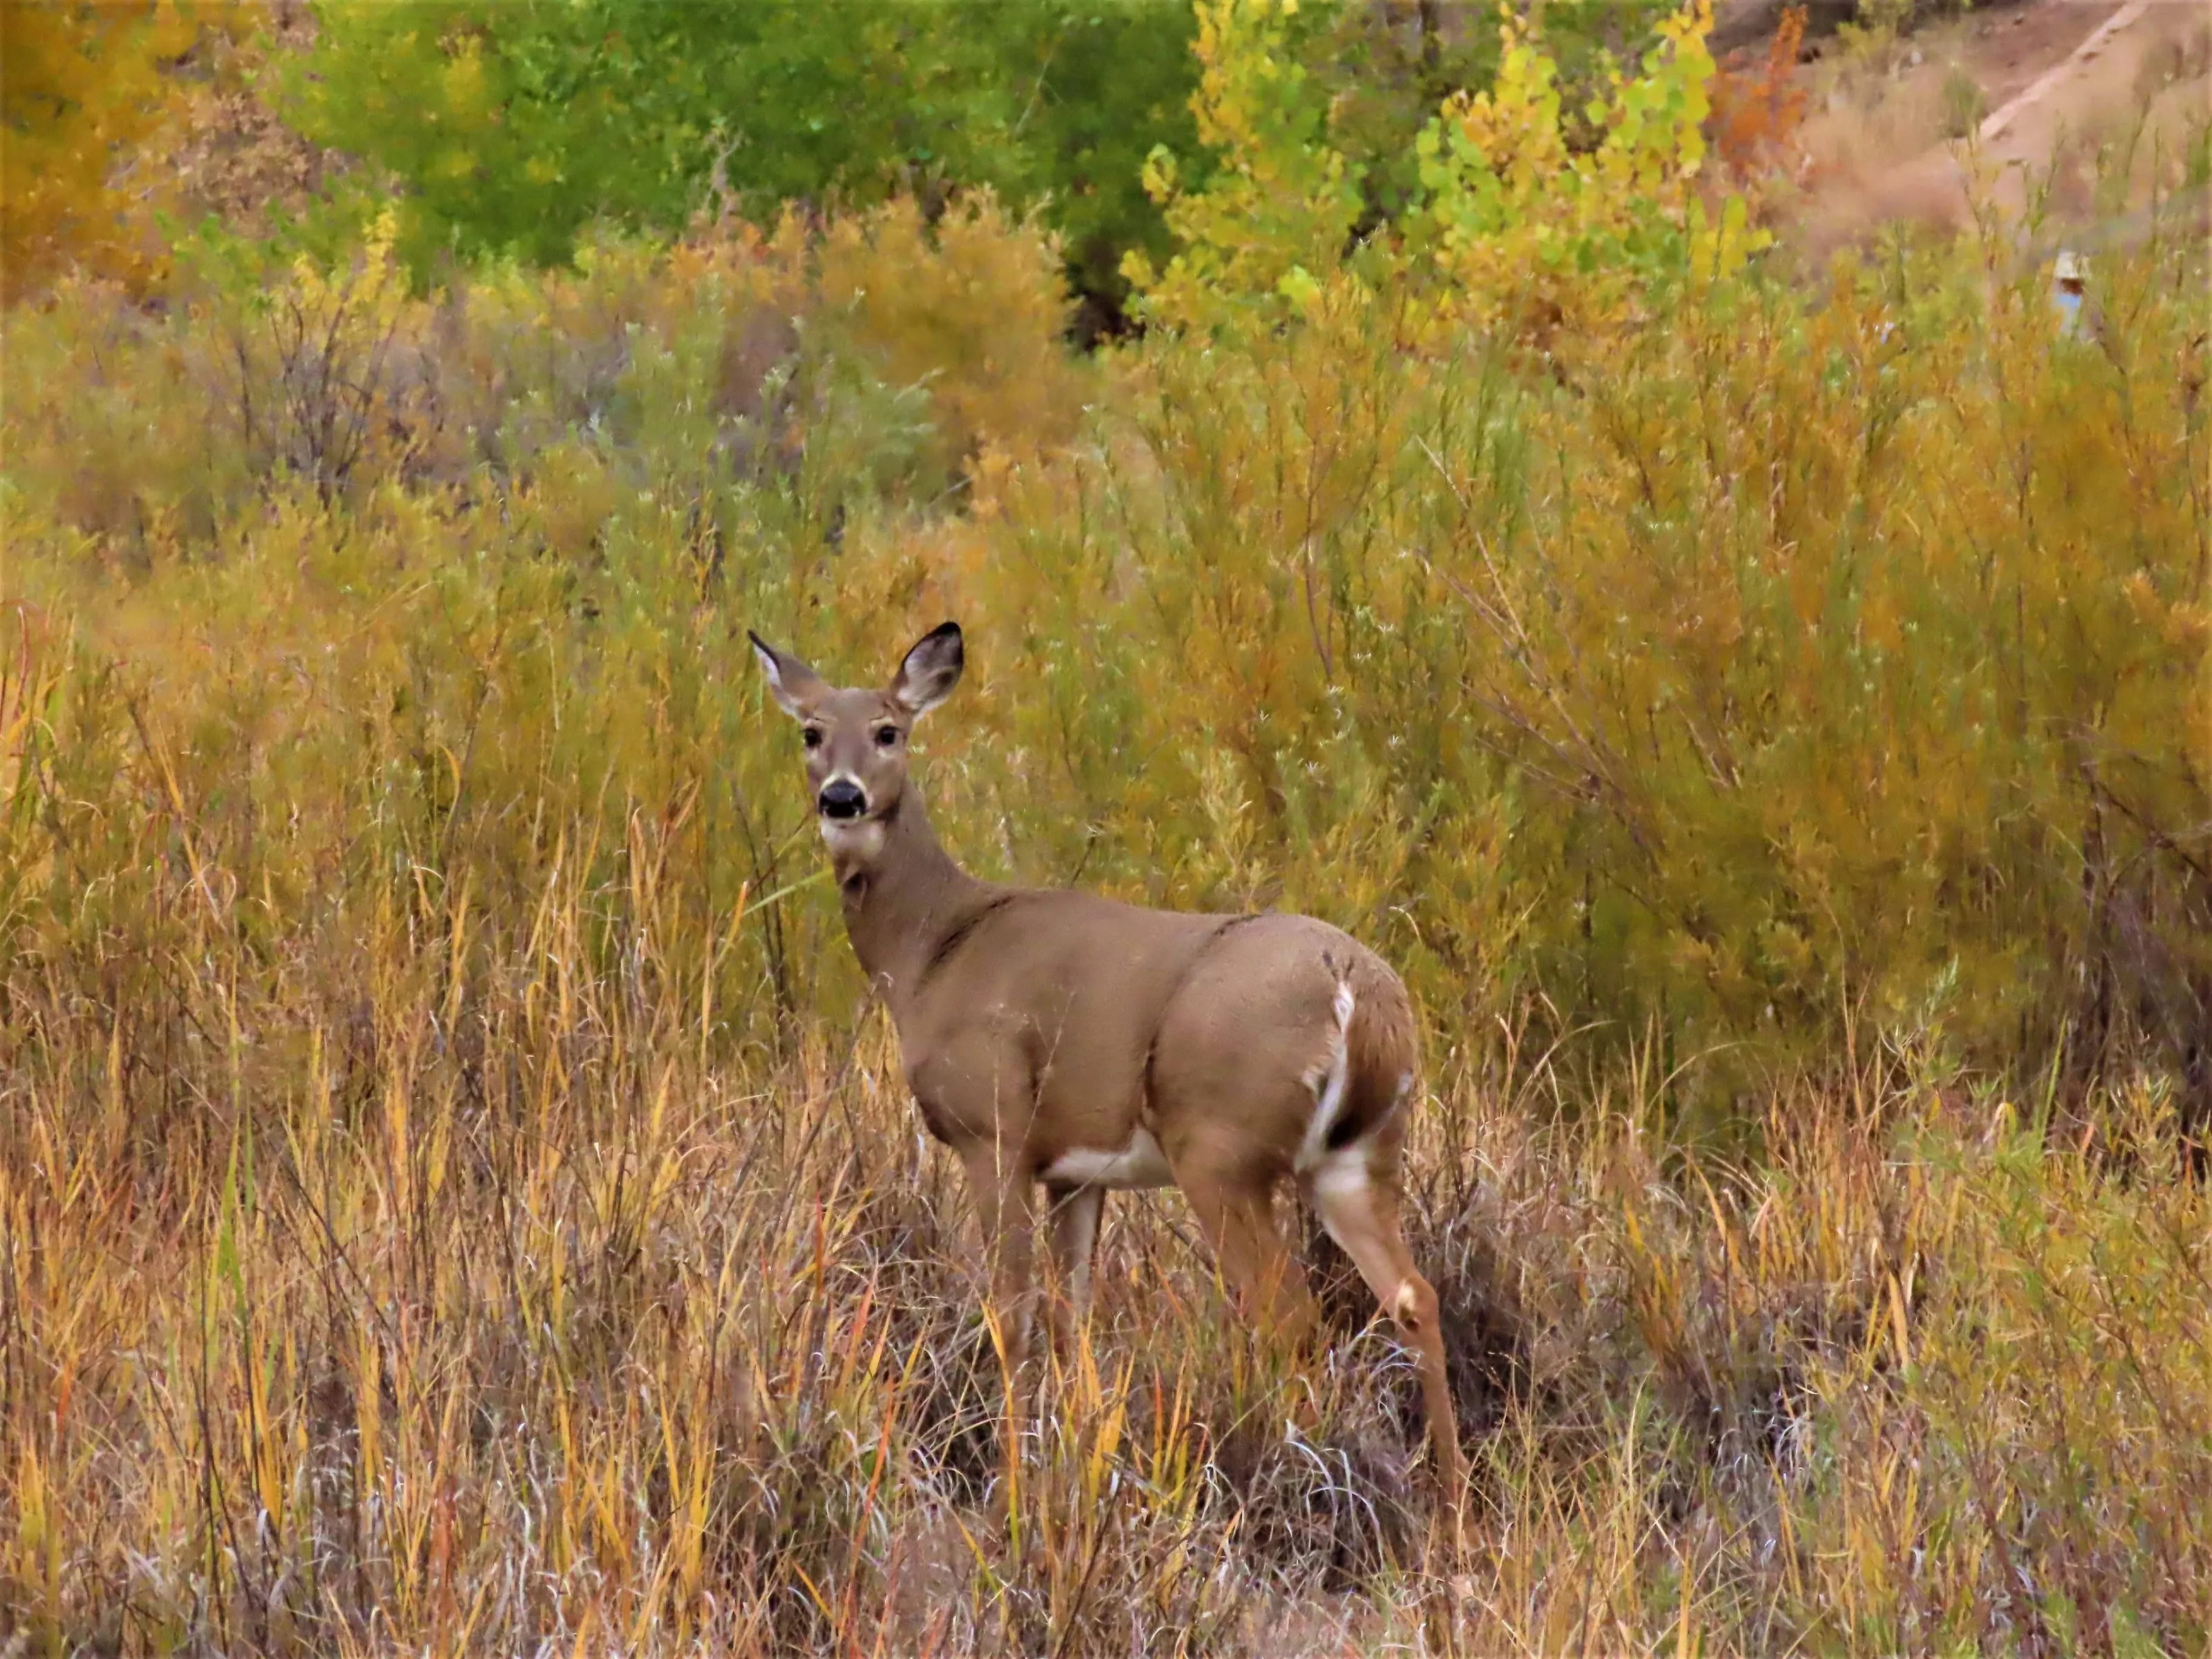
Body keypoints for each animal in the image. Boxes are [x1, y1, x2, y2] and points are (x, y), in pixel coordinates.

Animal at [749, 620, 1466, 1553]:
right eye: (809, 732)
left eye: (887, 730)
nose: (841, 798)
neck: (933, 949)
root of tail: (1357, 990)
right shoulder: (1076, 1171)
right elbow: (1073, 1319)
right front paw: (1075, 1469)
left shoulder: (995, 1131)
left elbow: (1012, 1315)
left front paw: (1013, 1498)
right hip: (1357, 1153)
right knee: (1413, 1298)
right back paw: (1451, 1513)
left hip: (1221, 1147)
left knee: (1287, 1316)